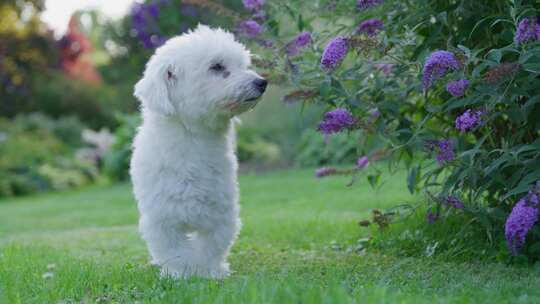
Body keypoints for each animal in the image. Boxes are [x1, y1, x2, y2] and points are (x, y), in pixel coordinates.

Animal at [129, 25, 268, 280]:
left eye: (242, 64)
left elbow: (210, 248)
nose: (262, 82)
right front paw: (181, 274)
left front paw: (210, 272)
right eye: (217, 67)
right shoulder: (163, 219)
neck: (194, 138)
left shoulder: (221, 215)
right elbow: (176, 253)